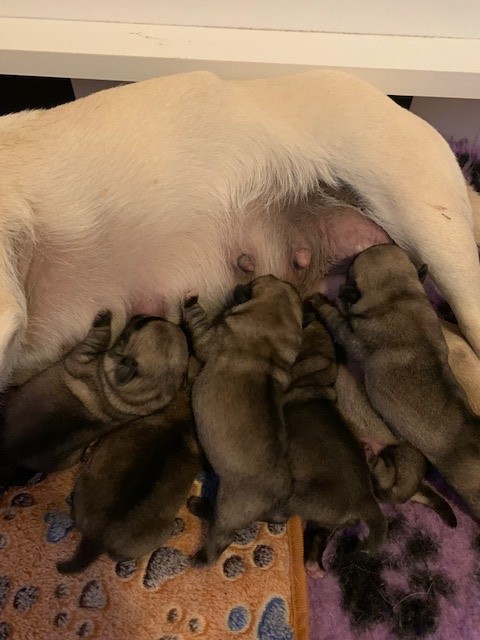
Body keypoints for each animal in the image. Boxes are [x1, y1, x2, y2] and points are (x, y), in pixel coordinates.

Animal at [0, 312, 189, 478]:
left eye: (140, 325)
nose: (138, 315)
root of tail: (11, 455)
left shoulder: (84, 353)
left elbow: (98, 337)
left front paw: (104, 318)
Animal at [183, 274, 303, 564]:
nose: (241, 283)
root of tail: (278, 501)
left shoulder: (208, 340)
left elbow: (197, 324)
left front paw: (191, 300)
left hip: (230, 506)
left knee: (218, 540)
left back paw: (197, 558)